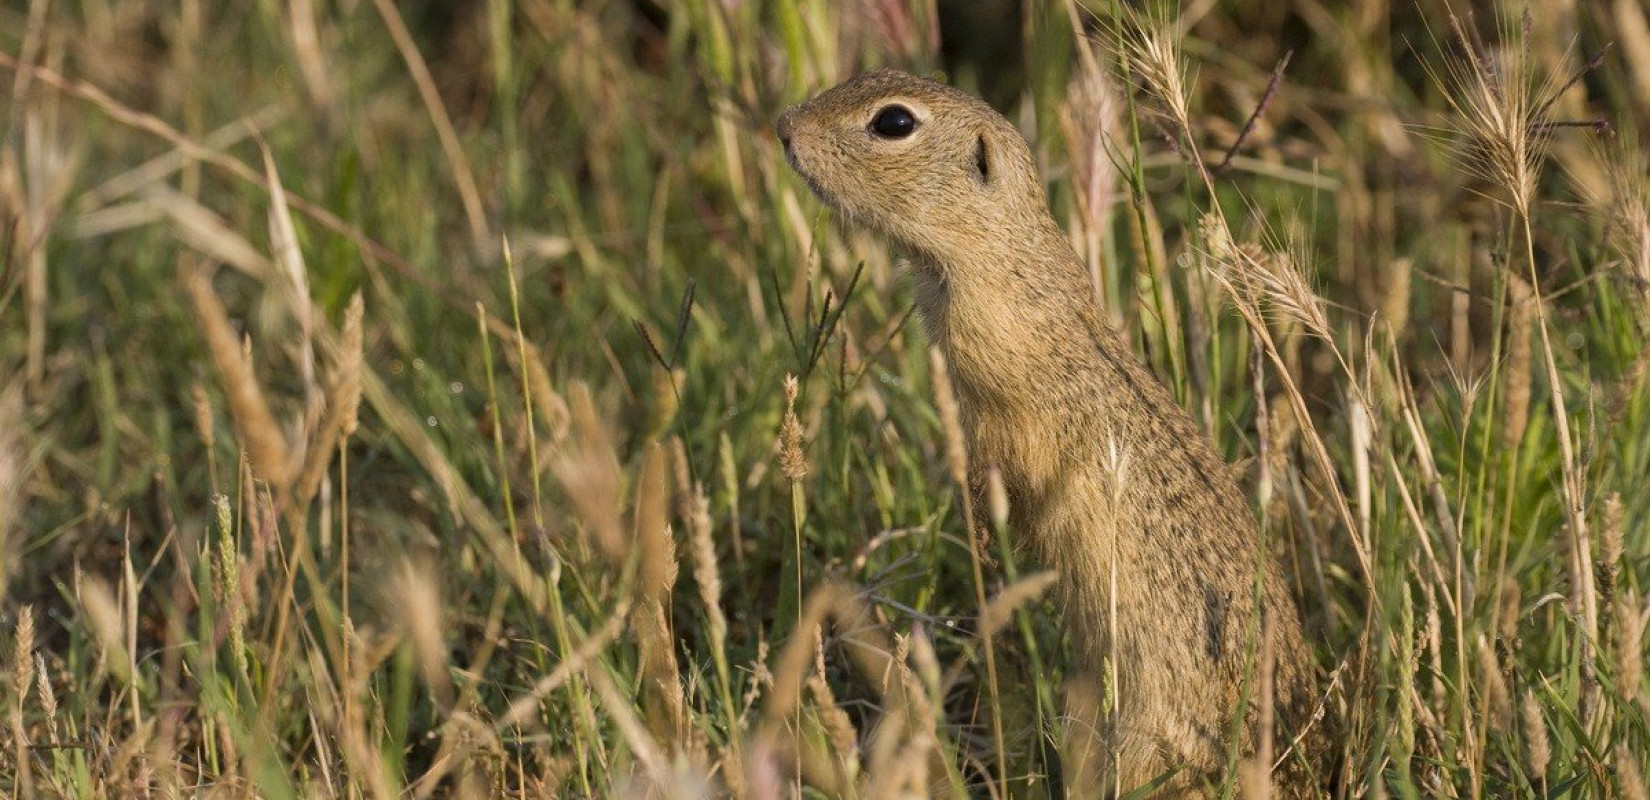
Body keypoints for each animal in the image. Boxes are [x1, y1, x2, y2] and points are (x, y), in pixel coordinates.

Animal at [775, 70, 1326, 798]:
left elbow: (1001, 475)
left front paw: (980, 536)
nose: (784, 127)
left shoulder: (1009, 417)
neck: (1007, 271)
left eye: (893, 123)